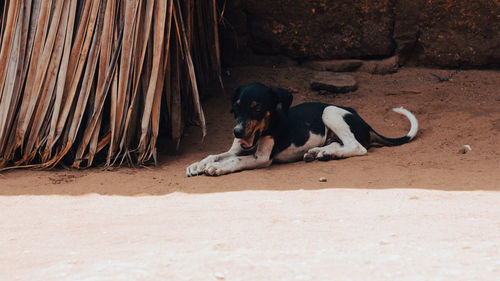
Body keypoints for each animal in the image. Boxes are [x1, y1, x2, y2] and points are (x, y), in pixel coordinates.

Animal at [188, 82, 418, 176]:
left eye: (258, 108)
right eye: (235, 108)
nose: (236, 132)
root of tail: (365, 122)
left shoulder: (262, 158)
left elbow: (236, 161)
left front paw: (218, 168)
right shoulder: (238, 148)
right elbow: (215, 154)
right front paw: (198, 164)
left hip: (330, 111)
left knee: (357, 147)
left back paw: (327, 153)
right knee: (340, 144)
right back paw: (320, 152)